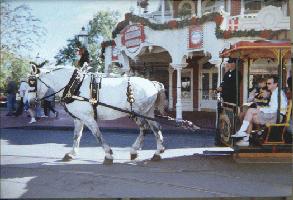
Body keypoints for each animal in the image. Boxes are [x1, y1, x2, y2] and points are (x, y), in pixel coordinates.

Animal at [30, 65, 167, 164]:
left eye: (32, 82)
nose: (30, 103)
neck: (74, 86)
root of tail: (152, 83)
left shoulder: (88, 118)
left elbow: (97, 135)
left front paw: (108, 154)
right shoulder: (78, 118)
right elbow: (76, 136)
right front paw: (71, 154)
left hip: (138, 112)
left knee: (145, 128)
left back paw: (137, 150)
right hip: (147, 112)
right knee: (155, 128)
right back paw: (156, 152)